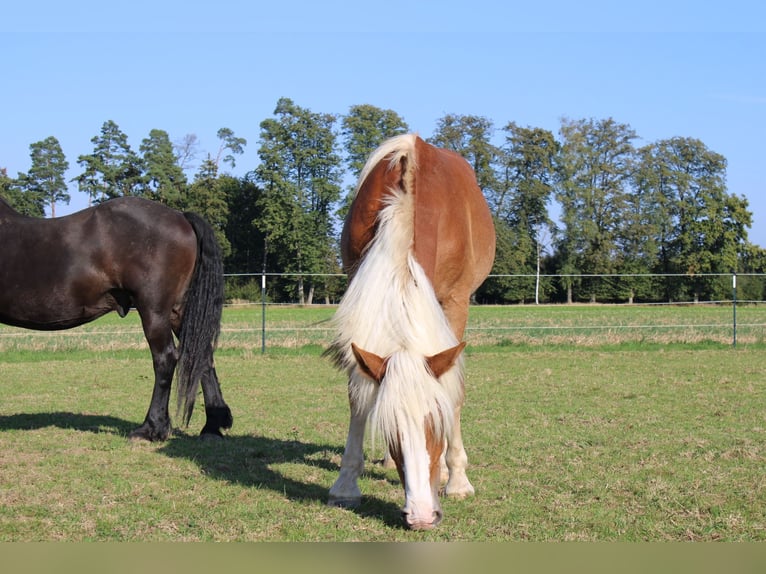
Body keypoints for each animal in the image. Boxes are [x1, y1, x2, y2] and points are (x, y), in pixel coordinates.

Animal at [0, 196, 234, 444]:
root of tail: (181, 216)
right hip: (178, 312)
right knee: (203, 356)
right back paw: (213, 426)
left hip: (154, 311)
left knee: (165, 358)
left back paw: (152, 428)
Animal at [326, 134, 496, 532]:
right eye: (391, 432)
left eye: (435, 424)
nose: (421, 516)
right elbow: (359, 395)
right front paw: (346, 484)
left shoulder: (455, 302)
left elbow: (453, 391)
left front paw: (458, 479)